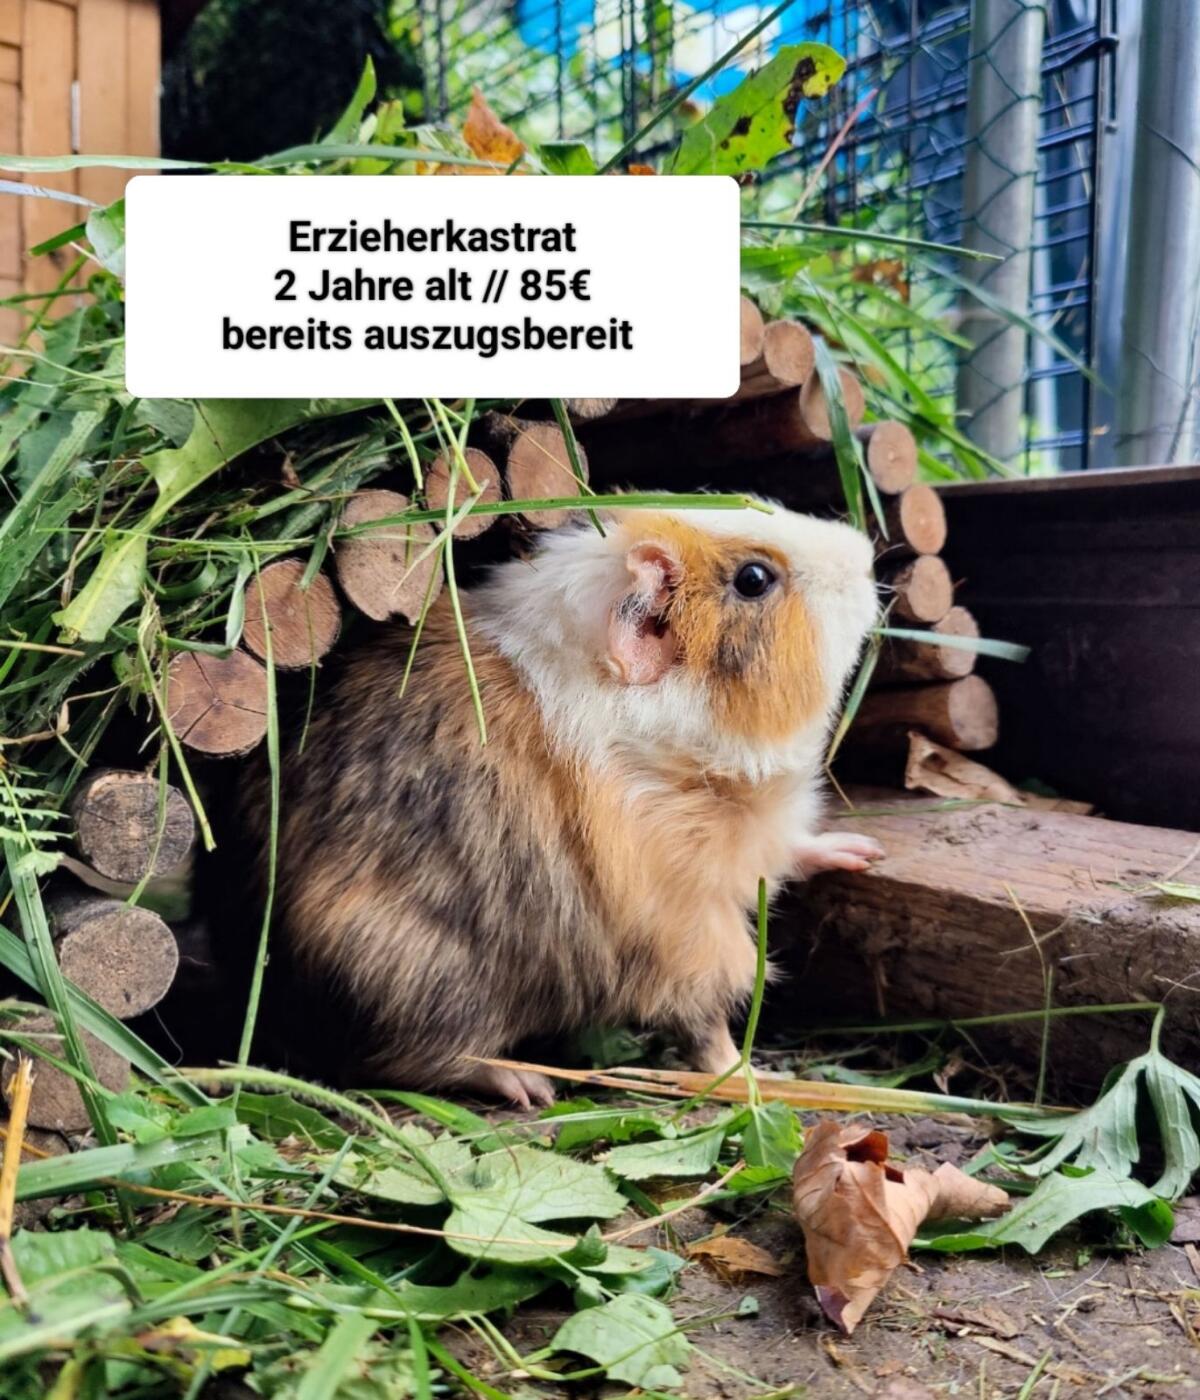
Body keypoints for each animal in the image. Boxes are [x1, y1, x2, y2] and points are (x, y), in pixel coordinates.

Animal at [239, 500, 882, 1106]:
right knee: (419, 1059)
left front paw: (860, 852)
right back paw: (527, 1087)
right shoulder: (685, 925)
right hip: (423, 982)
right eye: (754, 579)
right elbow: (705, 1021)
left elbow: (792, 850)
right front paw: (751, 1077)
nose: (865, 553)